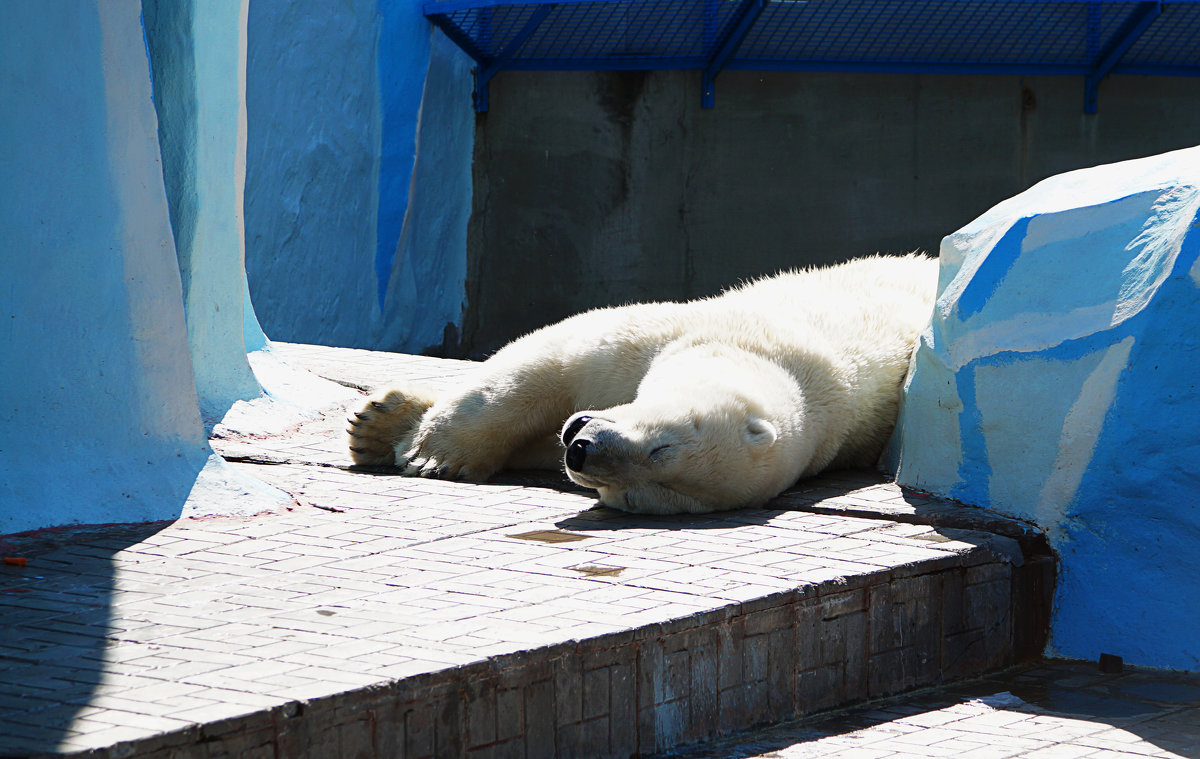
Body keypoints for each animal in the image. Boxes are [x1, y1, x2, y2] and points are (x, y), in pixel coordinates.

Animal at [348, 254, 936, 516]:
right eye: (663, 446)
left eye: (635, 495)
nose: (582, 448)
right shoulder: (688, 330)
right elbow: (548, 360)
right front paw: (431, 454)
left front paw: (400, 440)